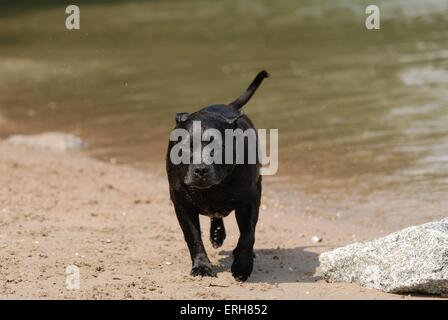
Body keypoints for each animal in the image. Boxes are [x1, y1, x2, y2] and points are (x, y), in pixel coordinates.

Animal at [165, 71, 268, 282]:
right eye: (185, 146)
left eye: (218, 146)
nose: (200, 169)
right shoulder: (182, 204)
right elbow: (193, 237)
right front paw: (202, 266)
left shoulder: (250, 200)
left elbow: (247, 235)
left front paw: (242, 267)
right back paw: (216, 235)